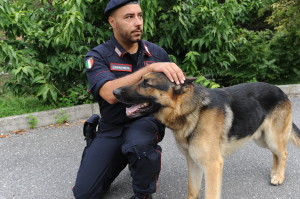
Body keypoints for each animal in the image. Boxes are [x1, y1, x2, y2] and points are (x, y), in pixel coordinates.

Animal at [112, 72, 300, 198]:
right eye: (139, 79)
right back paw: (274, 172)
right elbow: (192, 190)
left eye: (146, 84)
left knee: (283, 153)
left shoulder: (212, 166)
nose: (114, 92)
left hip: (272, 137)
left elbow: (210, 194)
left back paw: (279, 177)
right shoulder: (193, 162)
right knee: (276, 154)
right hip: (262, 138)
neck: (192, 111)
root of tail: (281, 92)